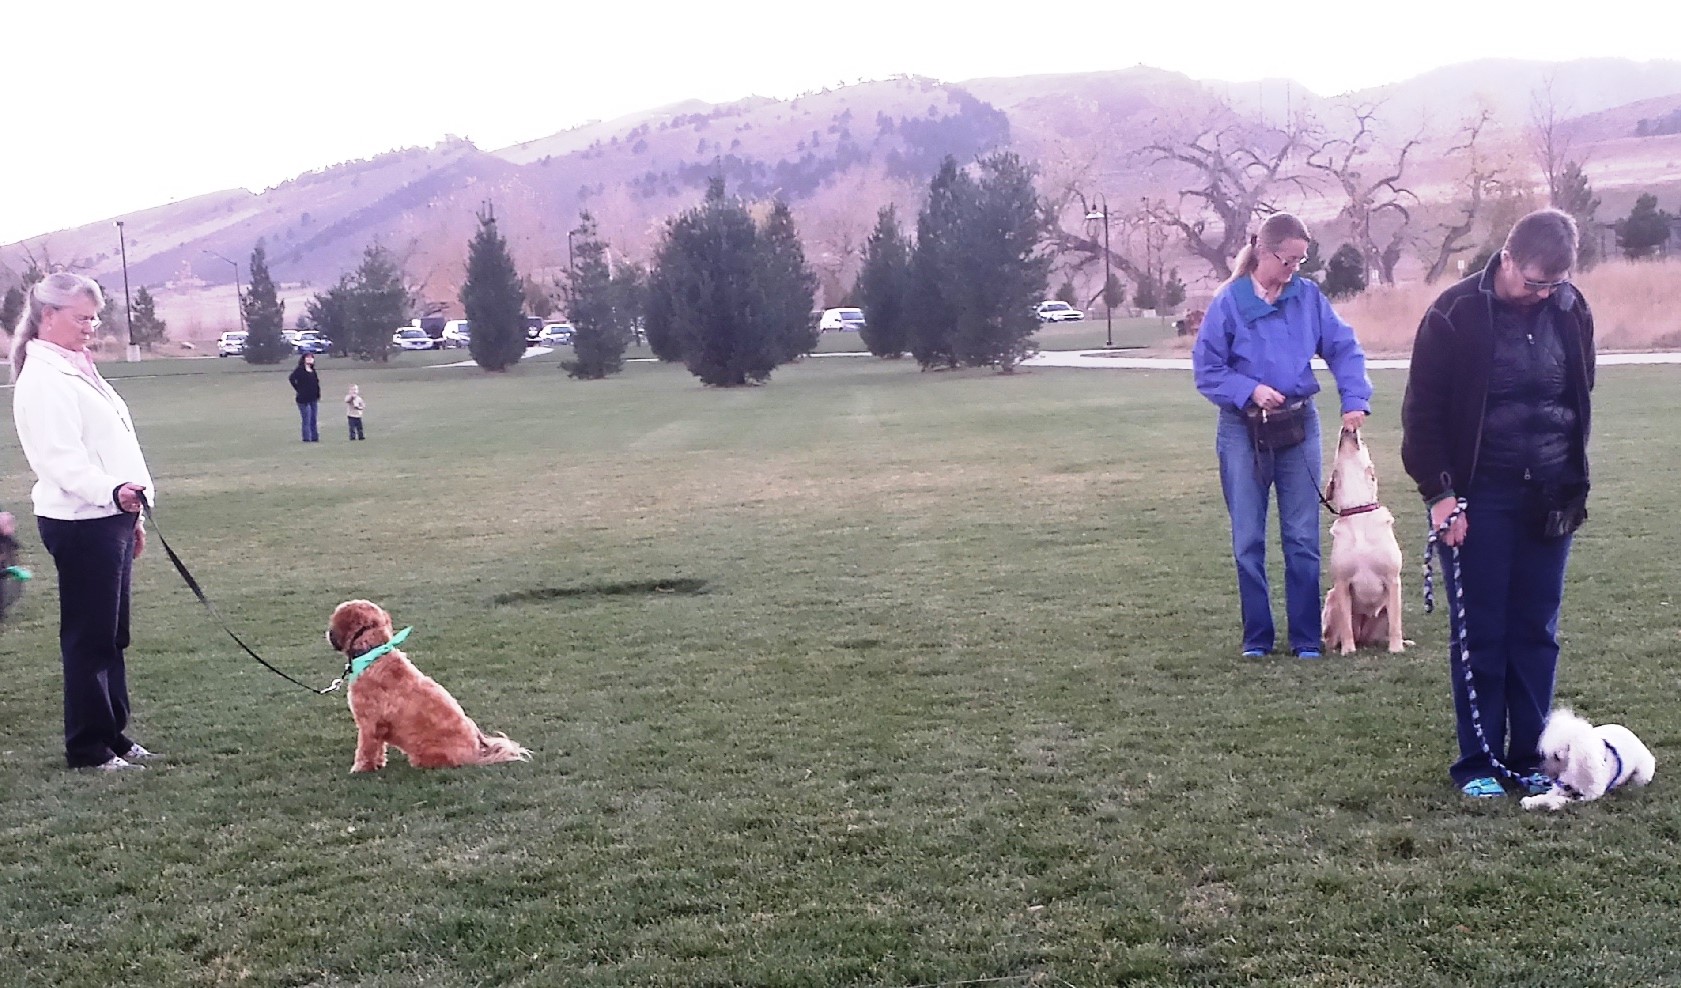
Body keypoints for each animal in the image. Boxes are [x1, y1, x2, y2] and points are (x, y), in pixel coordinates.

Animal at [1526, 709, 1654, 809]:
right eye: (1545, 754)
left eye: (1556, 757)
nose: (1540, 771)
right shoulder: (1563, 784)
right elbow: (1549, 794)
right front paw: (1532, 801)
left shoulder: (1592, 795)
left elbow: (1572, 800)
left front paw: (1555, 802)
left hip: (1642, 775)